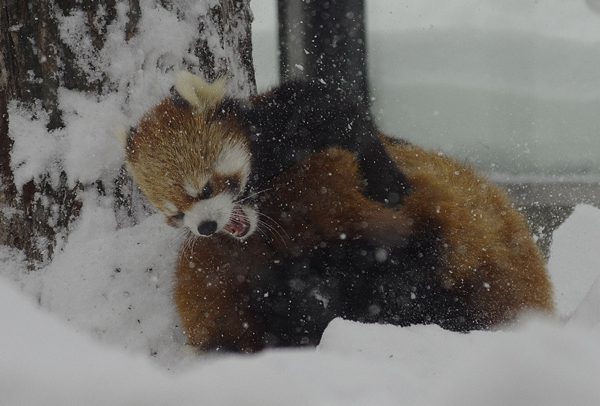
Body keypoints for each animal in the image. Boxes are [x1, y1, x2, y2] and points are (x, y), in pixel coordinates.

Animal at [117, 71, 552, 350]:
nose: (206, 227)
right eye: (175, 215)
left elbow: (338, 109)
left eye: (206, 188)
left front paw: (384, 175)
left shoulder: (285, 122)